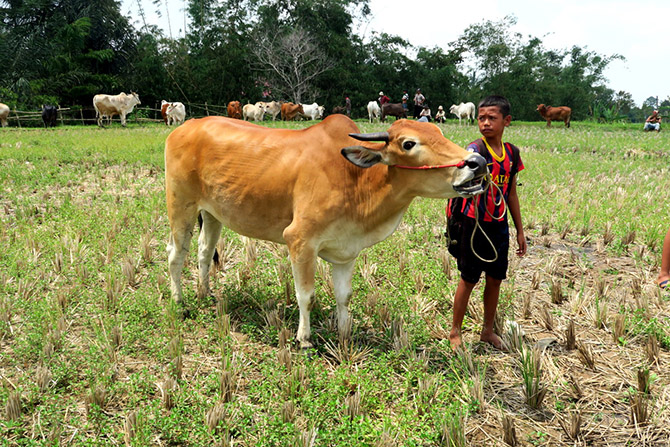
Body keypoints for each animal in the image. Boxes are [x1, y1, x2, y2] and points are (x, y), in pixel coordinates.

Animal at [163, 114, 488, 348]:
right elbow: (306, 295)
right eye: (409, 144)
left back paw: (206, 294)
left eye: (440, 132)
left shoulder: (346, 252)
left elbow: (344, 295)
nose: (478, 162)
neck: (354, 179)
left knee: (204, 252)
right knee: (176, 255)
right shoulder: (300, 241)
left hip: (212, 213)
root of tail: (186, 125)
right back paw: (179, 302)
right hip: (181, 207)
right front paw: (304, 339)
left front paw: (344, 332)